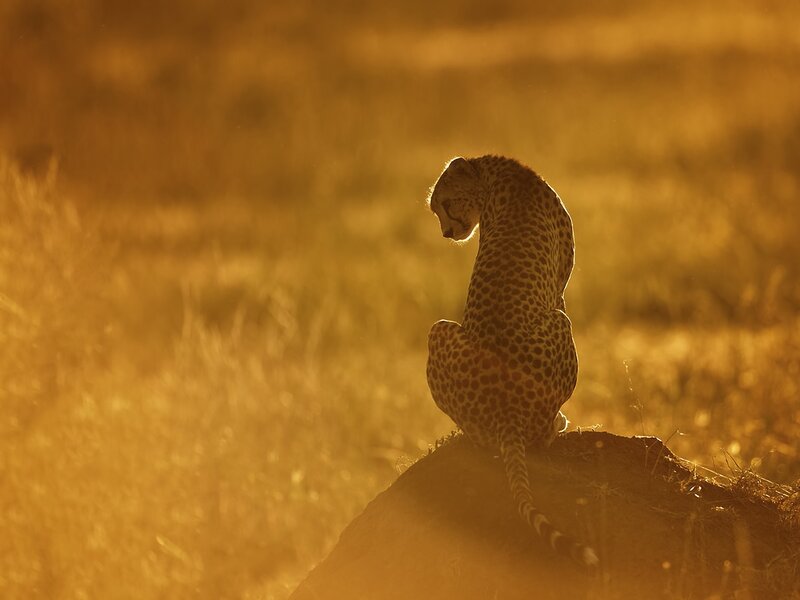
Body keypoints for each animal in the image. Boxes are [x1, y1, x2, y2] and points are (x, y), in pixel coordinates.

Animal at [425, 154, 598, 568]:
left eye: (447, 204)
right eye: (437, 209)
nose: (447, 233)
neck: (492, 173)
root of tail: (507, 415)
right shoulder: (560, 291)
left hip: (438, 332)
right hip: (559, 324)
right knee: (539, 437)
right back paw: (558, 424)